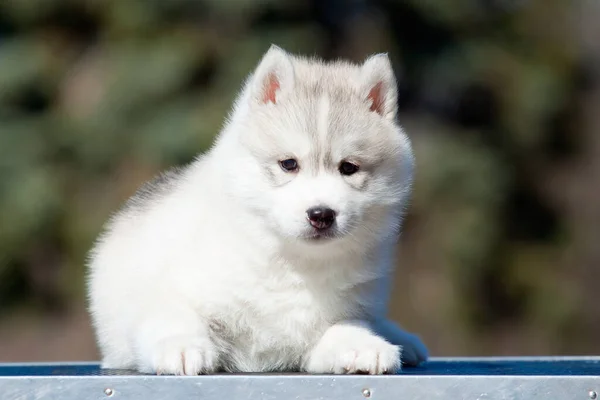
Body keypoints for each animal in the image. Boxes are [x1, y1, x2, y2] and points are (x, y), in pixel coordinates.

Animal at [86, 46, 428, 376]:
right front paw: (181, 348)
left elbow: (343, 328)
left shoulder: (331, 323)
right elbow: (174, 316)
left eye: (348, 167)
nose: (321, 215)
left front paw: (365, 347)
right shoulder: (171, 291)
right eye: (289, 164)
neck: (293, 264)